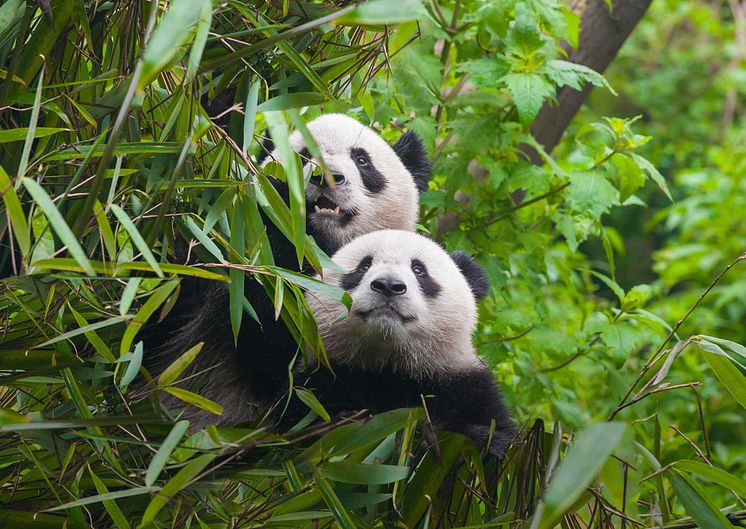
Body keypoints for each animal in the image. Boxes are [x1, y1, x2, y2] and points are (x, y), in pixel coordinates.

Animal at [282, 229, 516, 456]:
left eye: (419, 270)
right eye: (364, 266)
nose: (388, 285)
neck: (390, 365)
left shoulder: (462, 386)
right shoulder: (320, 382)